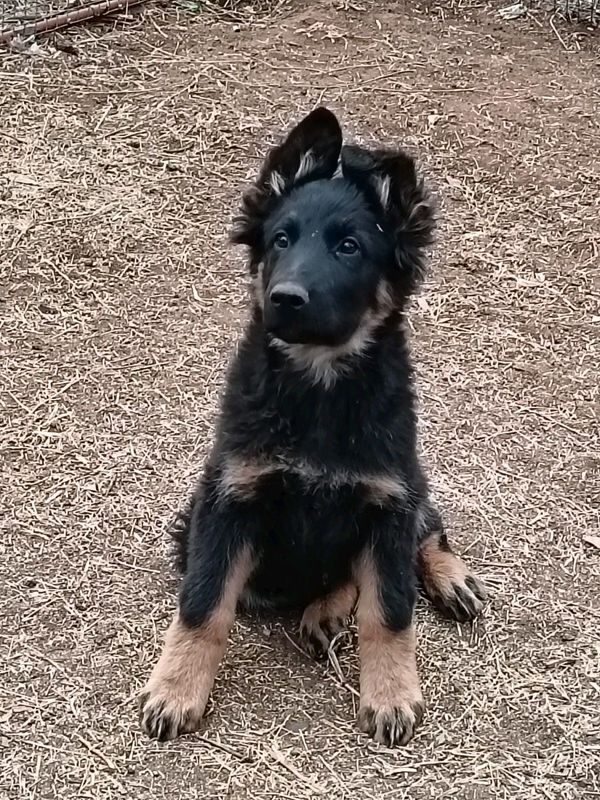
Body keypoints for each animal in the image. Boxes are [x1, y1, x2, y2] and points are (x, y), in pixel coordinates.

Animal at [138, 109, 486, 748]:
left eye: (350, 247)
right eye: (282, 239)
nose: (285, 298)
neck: (320, 385)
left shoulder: (389, 498)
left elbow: (389, 611)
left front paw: (391, 694)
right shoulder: (227, 498)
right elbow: (203, 604)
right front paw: (175, 689)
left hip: (410, 482)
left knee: (425, 530)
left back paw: (448, 578)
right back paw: (326, 608)